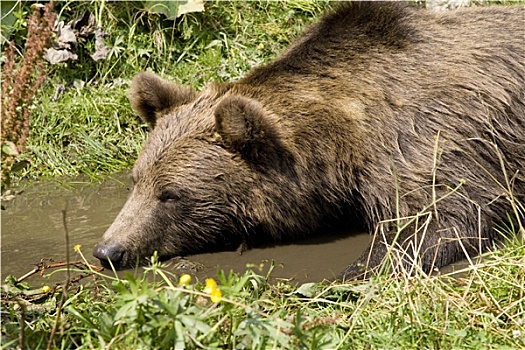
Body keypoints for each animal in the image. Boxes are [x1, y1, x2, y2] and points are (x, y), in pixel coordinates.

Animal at [92, 2, 520, 278]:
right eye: (136, 181)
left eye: (171, 194)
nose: (109, 250)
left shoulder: (426, 134)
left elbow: (442, 215)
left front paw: (350, 273)